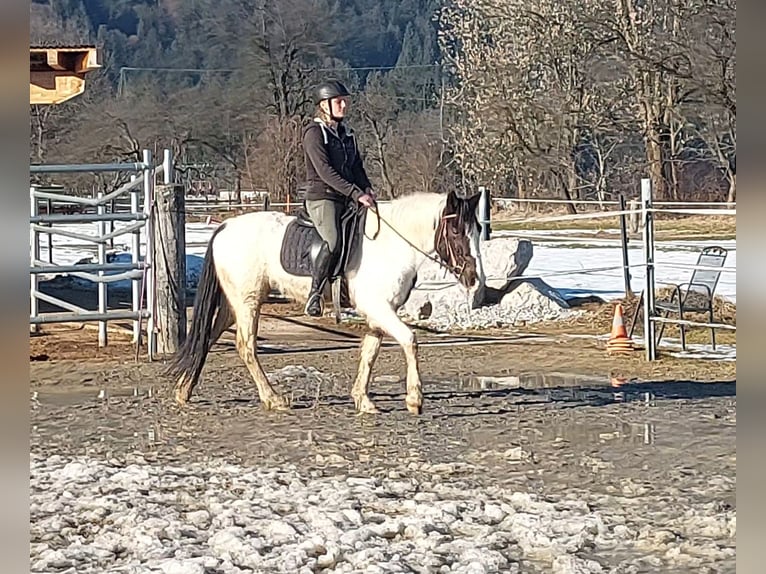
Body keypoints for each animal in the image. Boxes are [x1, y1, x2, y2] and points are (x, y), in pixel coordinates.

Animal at [166, 189, 486, 415]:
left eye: (478, 231)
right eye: (456, 231)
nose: (474, 279)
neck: (391, 245)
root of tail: (226, 227)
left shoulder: (379, 312)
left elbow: (369, 352)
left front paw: (363, 400)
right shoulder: (379, 308)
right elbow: (410, 340)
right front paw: (414, 399)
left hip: (235, 303)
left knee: (208, 336)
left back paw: (184, 390)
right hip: (248, 301)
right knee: (246, 346)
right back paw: (273, 398)